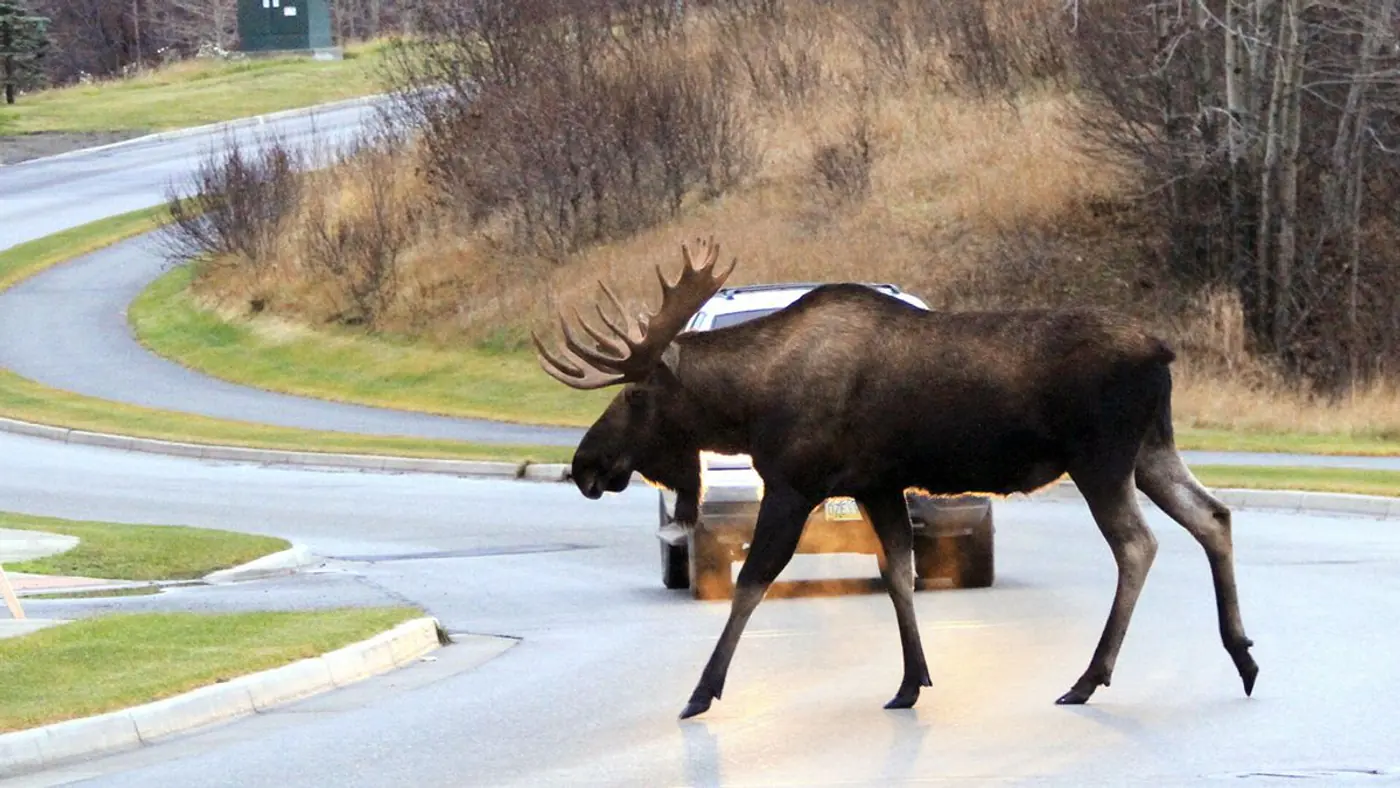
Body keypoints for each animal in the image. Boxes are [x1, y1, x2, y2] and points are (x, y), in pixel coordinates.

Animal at [533, 238, 1258, 720]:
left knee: (1139, 544)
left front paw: (700, 693)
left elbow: (752, 583)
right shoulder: (876, 482)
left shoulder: (795, 482)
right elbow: (899, 573)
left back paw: (1089, 677)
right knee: (1213, 515)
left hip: (1101, 457)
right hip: (1151, 448)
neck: (750, 405)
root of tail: (1162, 353)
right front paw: (912, 683)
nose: (584, 465)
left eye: (633, 397)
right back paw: (1243, 656)